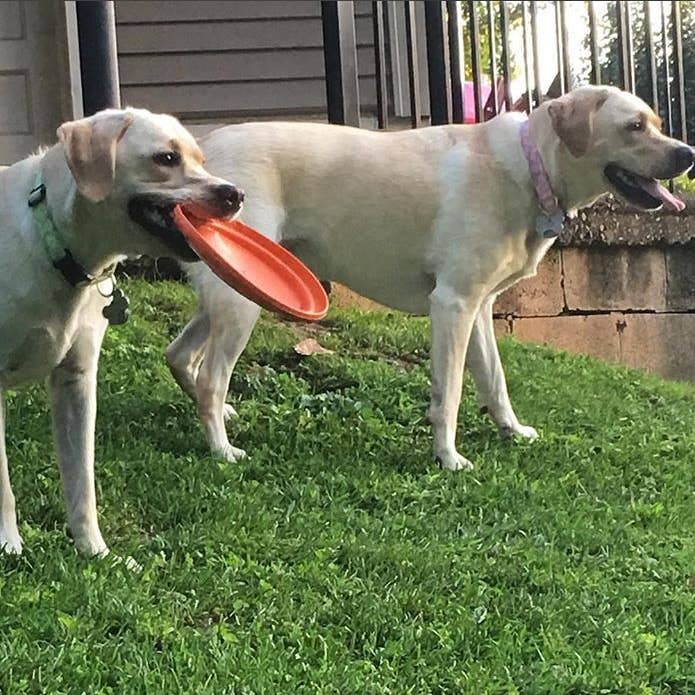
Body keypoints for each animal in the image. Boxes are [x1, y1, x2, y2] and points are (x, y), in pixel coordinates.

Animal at [0, 109, 245, 556]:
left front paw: (95, 552)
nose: (234, 194)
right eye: (166, 158)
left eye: (201, 160)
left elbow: (82, 483)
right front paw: (8, 542)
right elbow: (3, 485)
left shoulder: (77, 382)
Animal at [169, 84, 695, 470]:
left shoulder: (479, 309)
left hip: (231, 290)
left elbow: (495, 380)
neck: (531, 169)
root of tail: (203, 151)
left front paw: (512, 431)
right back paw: (222, 449)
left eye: (658, 123)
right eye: (633, 126)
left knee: (179, 356)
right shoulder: (453, 305)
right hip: (242, 302)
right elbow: (452, 392)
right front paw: (448, 458)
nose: (687, 153)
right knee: (212, 376)